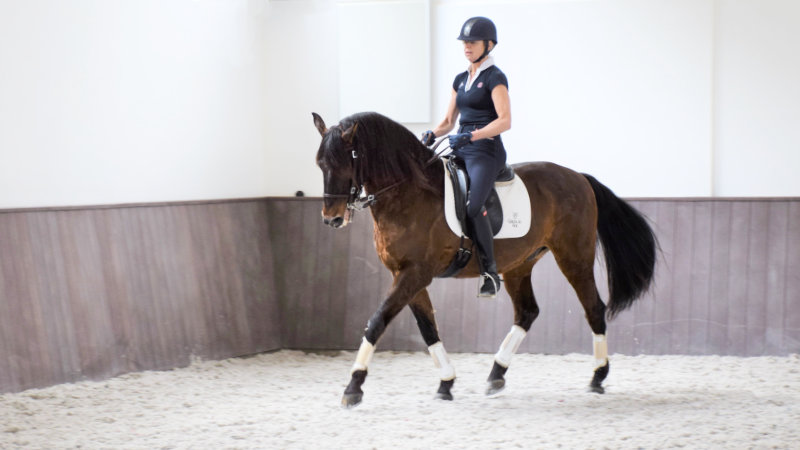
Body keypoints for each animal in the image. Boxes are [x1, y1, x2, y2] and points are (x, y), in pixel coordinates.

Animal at [312, 110, 656, 408]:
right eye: (319, 164)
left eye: (346, 162)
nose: (331, 219)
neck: (408, 193)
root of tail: (579, 178)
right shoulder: (404, 274)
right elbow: (428, 329)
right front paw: (446, 383)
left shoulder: (414, 274)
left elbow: (376, 322)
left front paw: (353, 387)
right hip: (520, 264)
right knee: (527, 312)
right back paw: (496, 374)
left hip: (574, 257)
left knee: (593, 307)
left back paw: (598, 376)